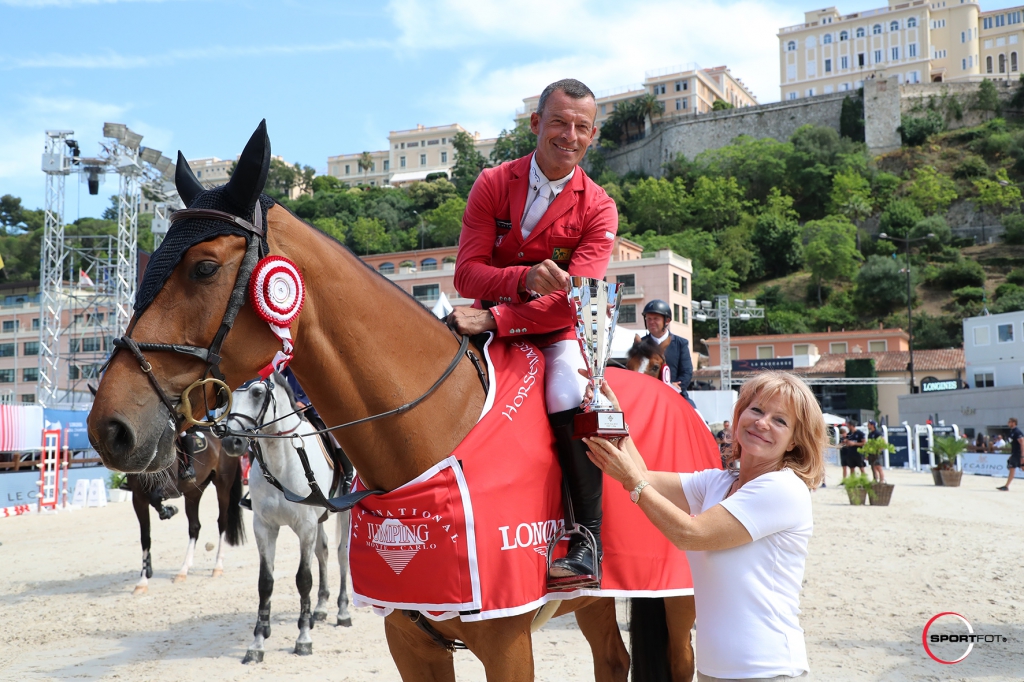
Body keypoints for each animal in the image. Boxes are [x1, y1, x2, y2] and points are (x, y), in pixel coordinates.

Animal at [128, 432, 245, 593]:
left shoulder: (170, 487)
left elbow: (155, 498)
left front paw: (169, 511)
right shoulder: (138, 498)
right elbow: (145, 538)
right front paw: (143, 580)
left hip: (223, 486)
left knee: (222, 522)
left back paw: (217, 567)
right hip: (194, 490)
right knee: (194, 527)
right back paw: (183, 570)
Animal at [223, 374, 352, 659]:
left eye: (257, 393)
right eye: (226, 396)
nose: (230, 442)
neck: (281, 462)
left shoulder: (305, 526)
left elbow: (303, 579)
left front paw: (303, 638)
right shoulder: (264, 527)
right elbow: (265, 582)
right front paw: (258, 641)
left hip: (343, 512)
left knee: (341, 553)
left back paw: (342, 611)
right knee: (323, 551)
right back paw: (320, 609)